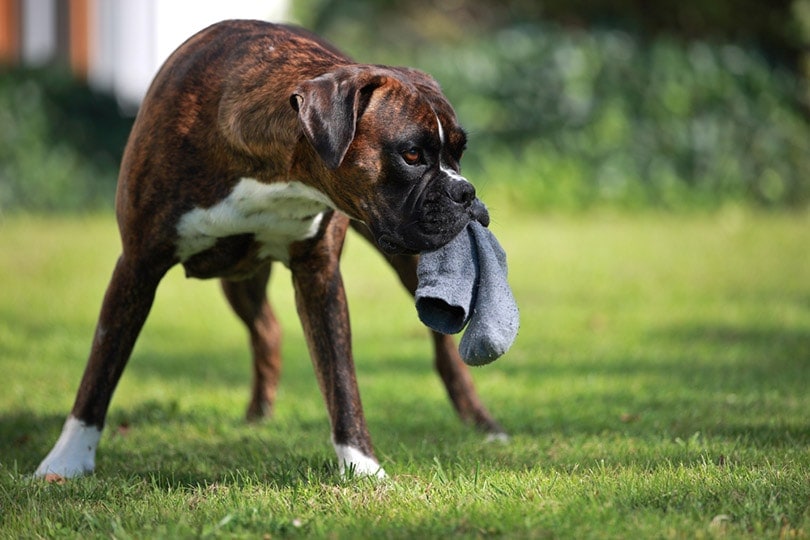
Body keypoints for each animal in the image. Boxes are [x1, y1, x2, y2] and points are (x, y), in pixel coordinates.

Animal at [39, 19, 504, 478]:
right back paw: (257, 416)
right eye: (410, 154)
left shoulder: (319, 278)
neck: (276, 171)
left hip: (401, 263)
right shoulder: (137, 265)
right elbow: (101, 367)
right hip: (238, 281)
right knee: (267, 329)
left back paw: (483, 423)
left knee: (443, 349)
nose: (465, 192)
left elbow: (340, 379)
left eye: (459, 152)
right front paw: (66, 460)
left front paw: (362, 465)